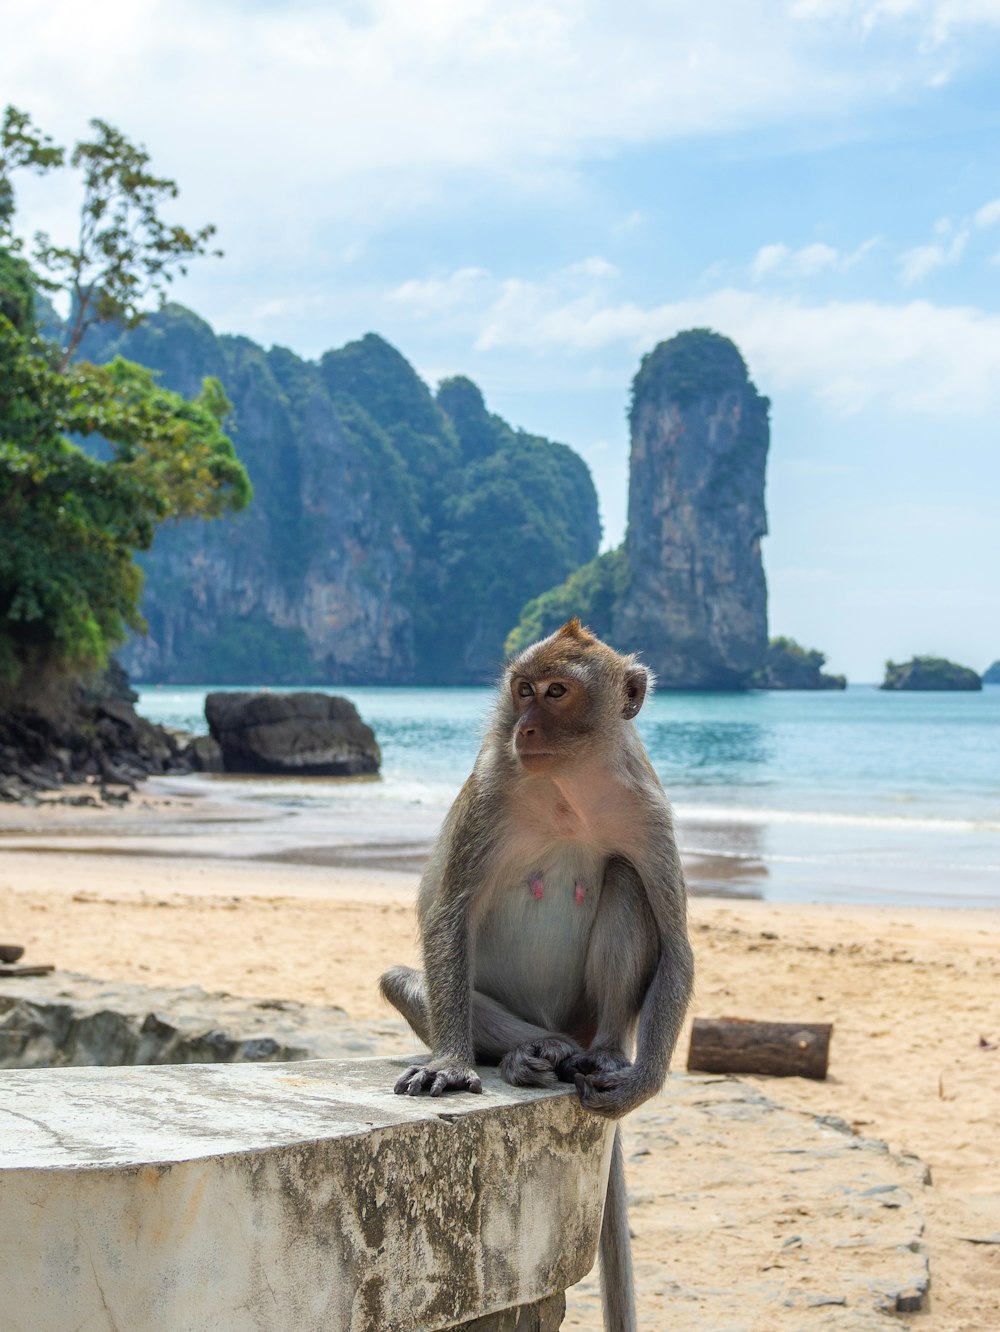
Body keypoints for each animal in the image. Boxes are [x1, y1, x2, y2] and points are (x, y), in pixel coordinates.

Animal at [380, 615, 697, 1332]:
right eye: (523, 690)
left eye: (556, 692)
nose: (523, 728)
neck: (569, 787)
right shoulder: (491, 791)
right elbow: (449, 915)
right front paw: (451, 1062)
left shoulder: (649, 809)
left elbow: (677, 946)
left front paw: (643, 1084)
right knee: (403, 979)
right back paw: (531, 1054)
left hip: (595, 1012)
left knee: (624, 878)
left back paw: (600, 1056)